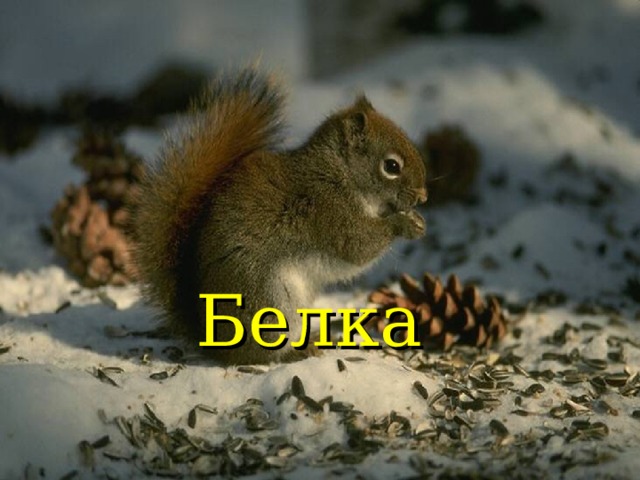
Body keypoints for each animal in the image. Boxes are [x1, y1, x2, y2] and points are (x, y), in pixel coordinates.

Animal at [133, 69, 428, 365]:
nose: (423, 197)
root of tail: (212, 341)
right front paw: (405, 223)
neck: (340, 173)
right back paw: (300, 350)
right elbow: (358, 246)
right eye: (391, 166)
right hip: (270, 302)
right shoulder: (328, 210)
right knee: (261, 354)